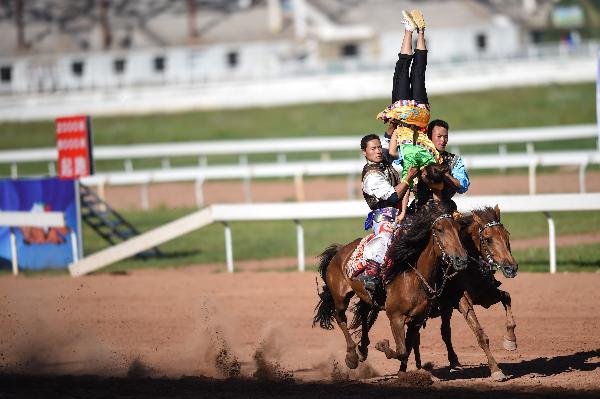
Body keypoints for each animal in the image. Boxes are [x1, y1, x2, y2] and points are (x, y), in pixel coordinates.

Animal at [314, 203, 468, 376]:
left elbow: (406, 350)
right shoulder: (396, 317)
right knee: (340, 317)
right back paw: (352, 357)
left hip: (368, 298)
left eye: (458, 229)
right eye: (440, 229)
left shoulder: (416, 320)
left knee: (364, 314)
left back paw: (363, 349)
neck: (413, 278)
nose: (461, 260)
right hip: (340, 296)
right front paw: (382, 345)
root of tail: (339, 250)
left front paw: (402, 372)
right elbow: (402, 350)